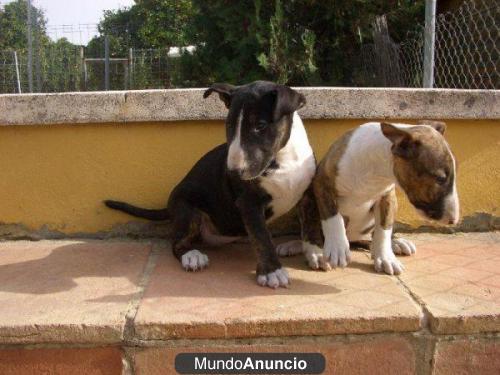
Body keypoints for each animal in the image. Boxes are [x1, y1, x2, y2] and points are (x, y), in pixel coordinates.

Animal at [105, 81, 316, 290]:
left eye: (260, 126)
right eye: (229, 125)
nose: (232, 173)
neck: (283, 159)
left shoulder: (306, 195)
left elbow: (308, 225)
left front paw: (313, 251)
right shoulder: (249, 202)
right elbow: (261, 237)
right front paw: (272, 271)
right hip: (188, 210)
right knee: (176, 242)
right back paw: (192, 256)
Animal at [282, 121, 458, 276]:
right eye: (440, 178)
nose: (453, 220)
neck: (377, 171)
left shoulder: (387, 197)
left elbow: (384, 229)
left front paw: (386, 258)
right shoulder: (322, 184)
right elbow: (332, 218)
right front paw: (337, 248)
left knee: (371, 237)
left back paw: (396, 243)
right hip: (306, 199)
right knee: (310, 228)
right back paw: (307, 250)